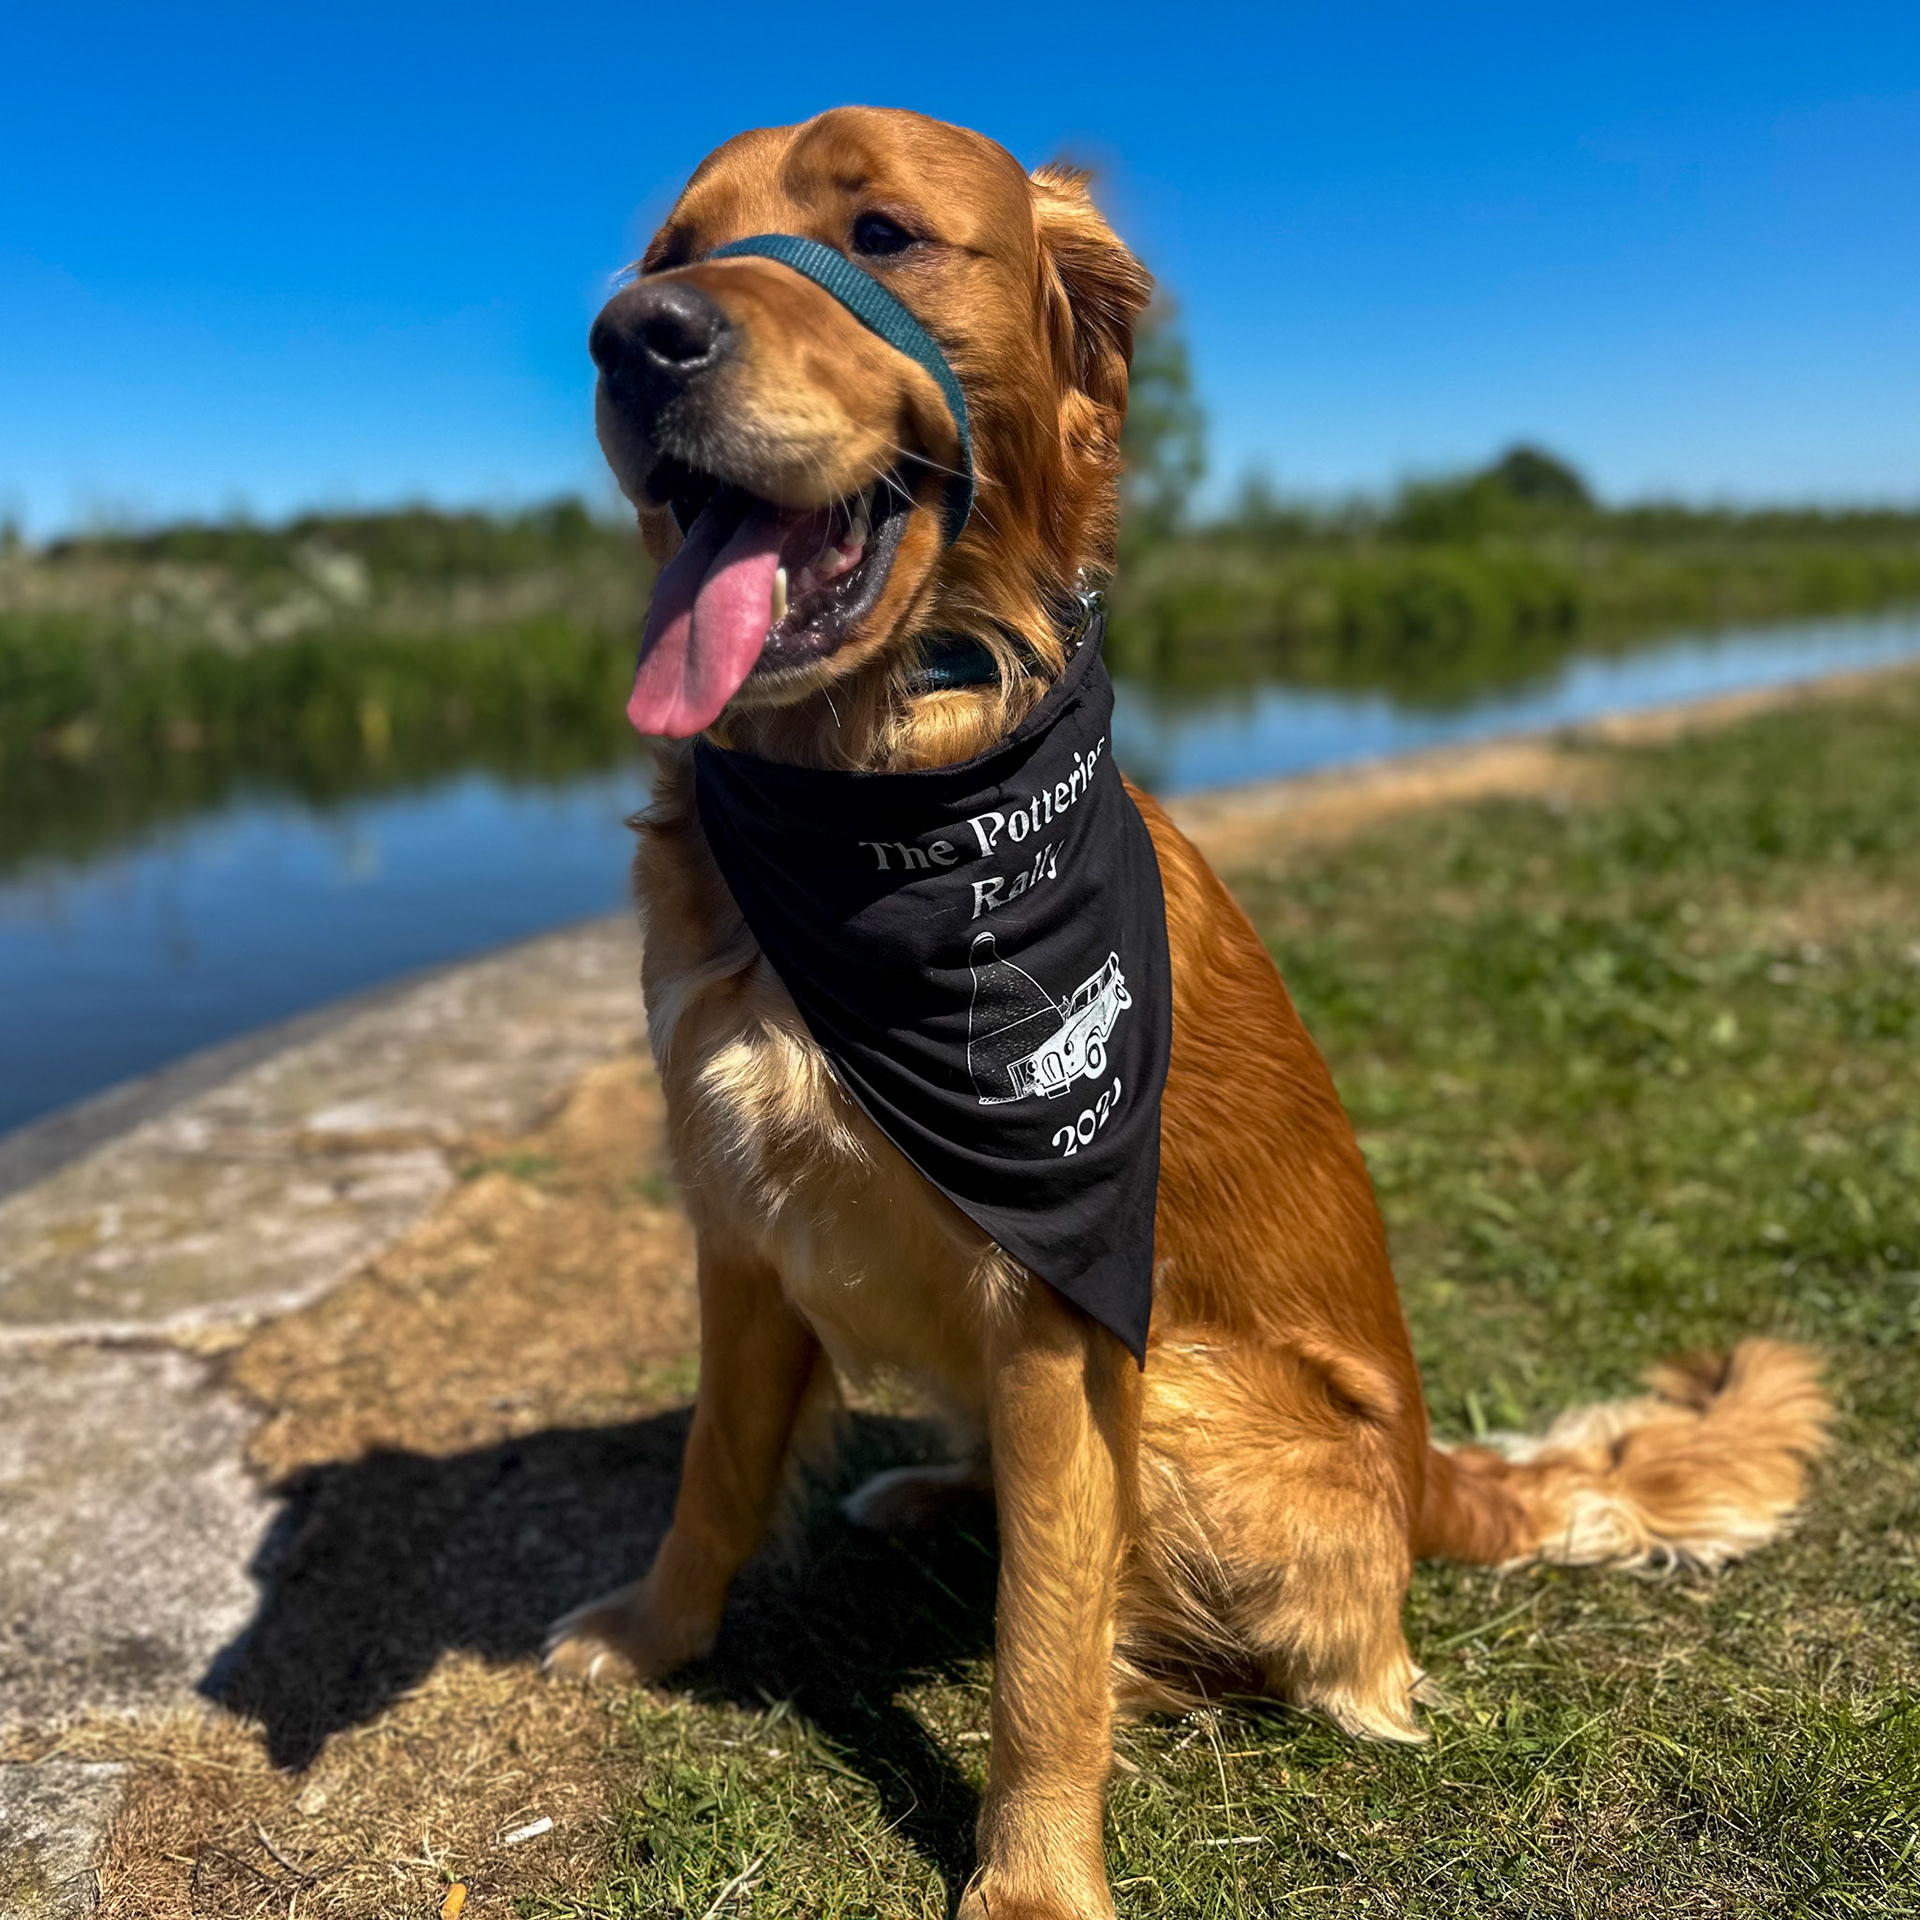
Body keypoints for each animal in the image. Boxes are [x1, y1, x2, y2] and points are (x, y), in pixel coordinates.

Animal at [547, 107, 1831, 1920]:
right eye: (671, 253)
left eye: (883, 233)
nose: (636, 339)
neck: (871, 803)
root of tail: (1430, 1477)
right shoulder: (741, 1230)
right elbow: (712, 1476)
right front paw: (660, 1638)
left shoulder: (1060, 1314)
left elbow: (1047, 1645)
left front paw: (1031, 1879)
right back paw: (934, 1486)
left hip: (1195, 1400)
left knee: (1313, 1654)